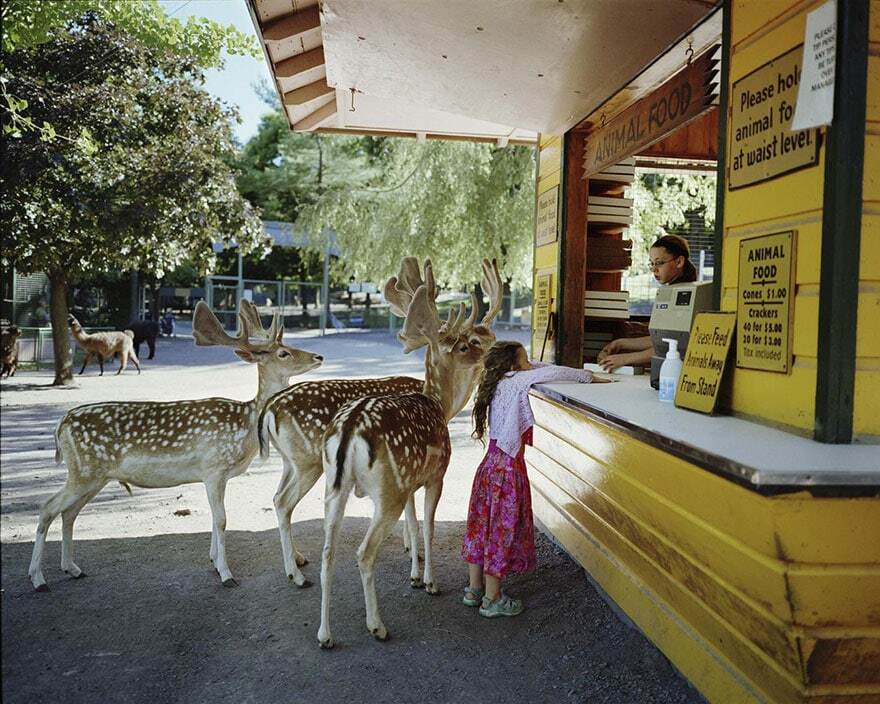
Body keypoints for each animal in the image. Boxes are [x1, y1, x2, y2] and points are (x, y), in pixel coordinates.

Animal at [26, 300, 324, 592]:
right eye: (283, 353)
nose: (318, 357)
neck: (247, 422)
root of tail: (61, 425)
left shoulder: (215, 475)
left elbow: (215, 519)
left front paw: (214, 561)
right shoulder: (214, 468)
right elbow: (222, 519)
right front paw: (226, 574)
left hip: (93, 477)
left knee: (68, 513)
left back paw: (72, 569)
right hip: (83, 472)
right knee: (47, 508)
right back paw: (38, 579)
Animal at [256, 258, 502, 588]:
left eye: (492, 336)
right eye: (470, 342)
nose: (495, 353)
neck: (443, 405)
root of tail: (270, 407)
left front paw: (414, 560)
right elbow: (418, 520)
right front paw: (419, 568)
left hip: (292, 462)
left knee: (279, 499)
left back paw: (298, 560)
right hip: (308, 461)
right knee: (284, 502)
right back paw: (295, 574)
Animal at [316, 256, 502, 648]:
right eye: (465, 345)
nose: (492, 351)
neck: (439, 405)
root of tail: (349, 429)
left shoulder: (411, 482)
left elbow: (414, 525)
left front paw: (414, 575)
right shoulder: (436, 474)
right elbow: (428, 527)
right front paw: (429, 581)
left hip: (336, 487)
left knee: (327, 551)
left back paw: (325, 634)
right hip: (387, 490)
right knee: (364, 553)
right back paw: (377, 625)